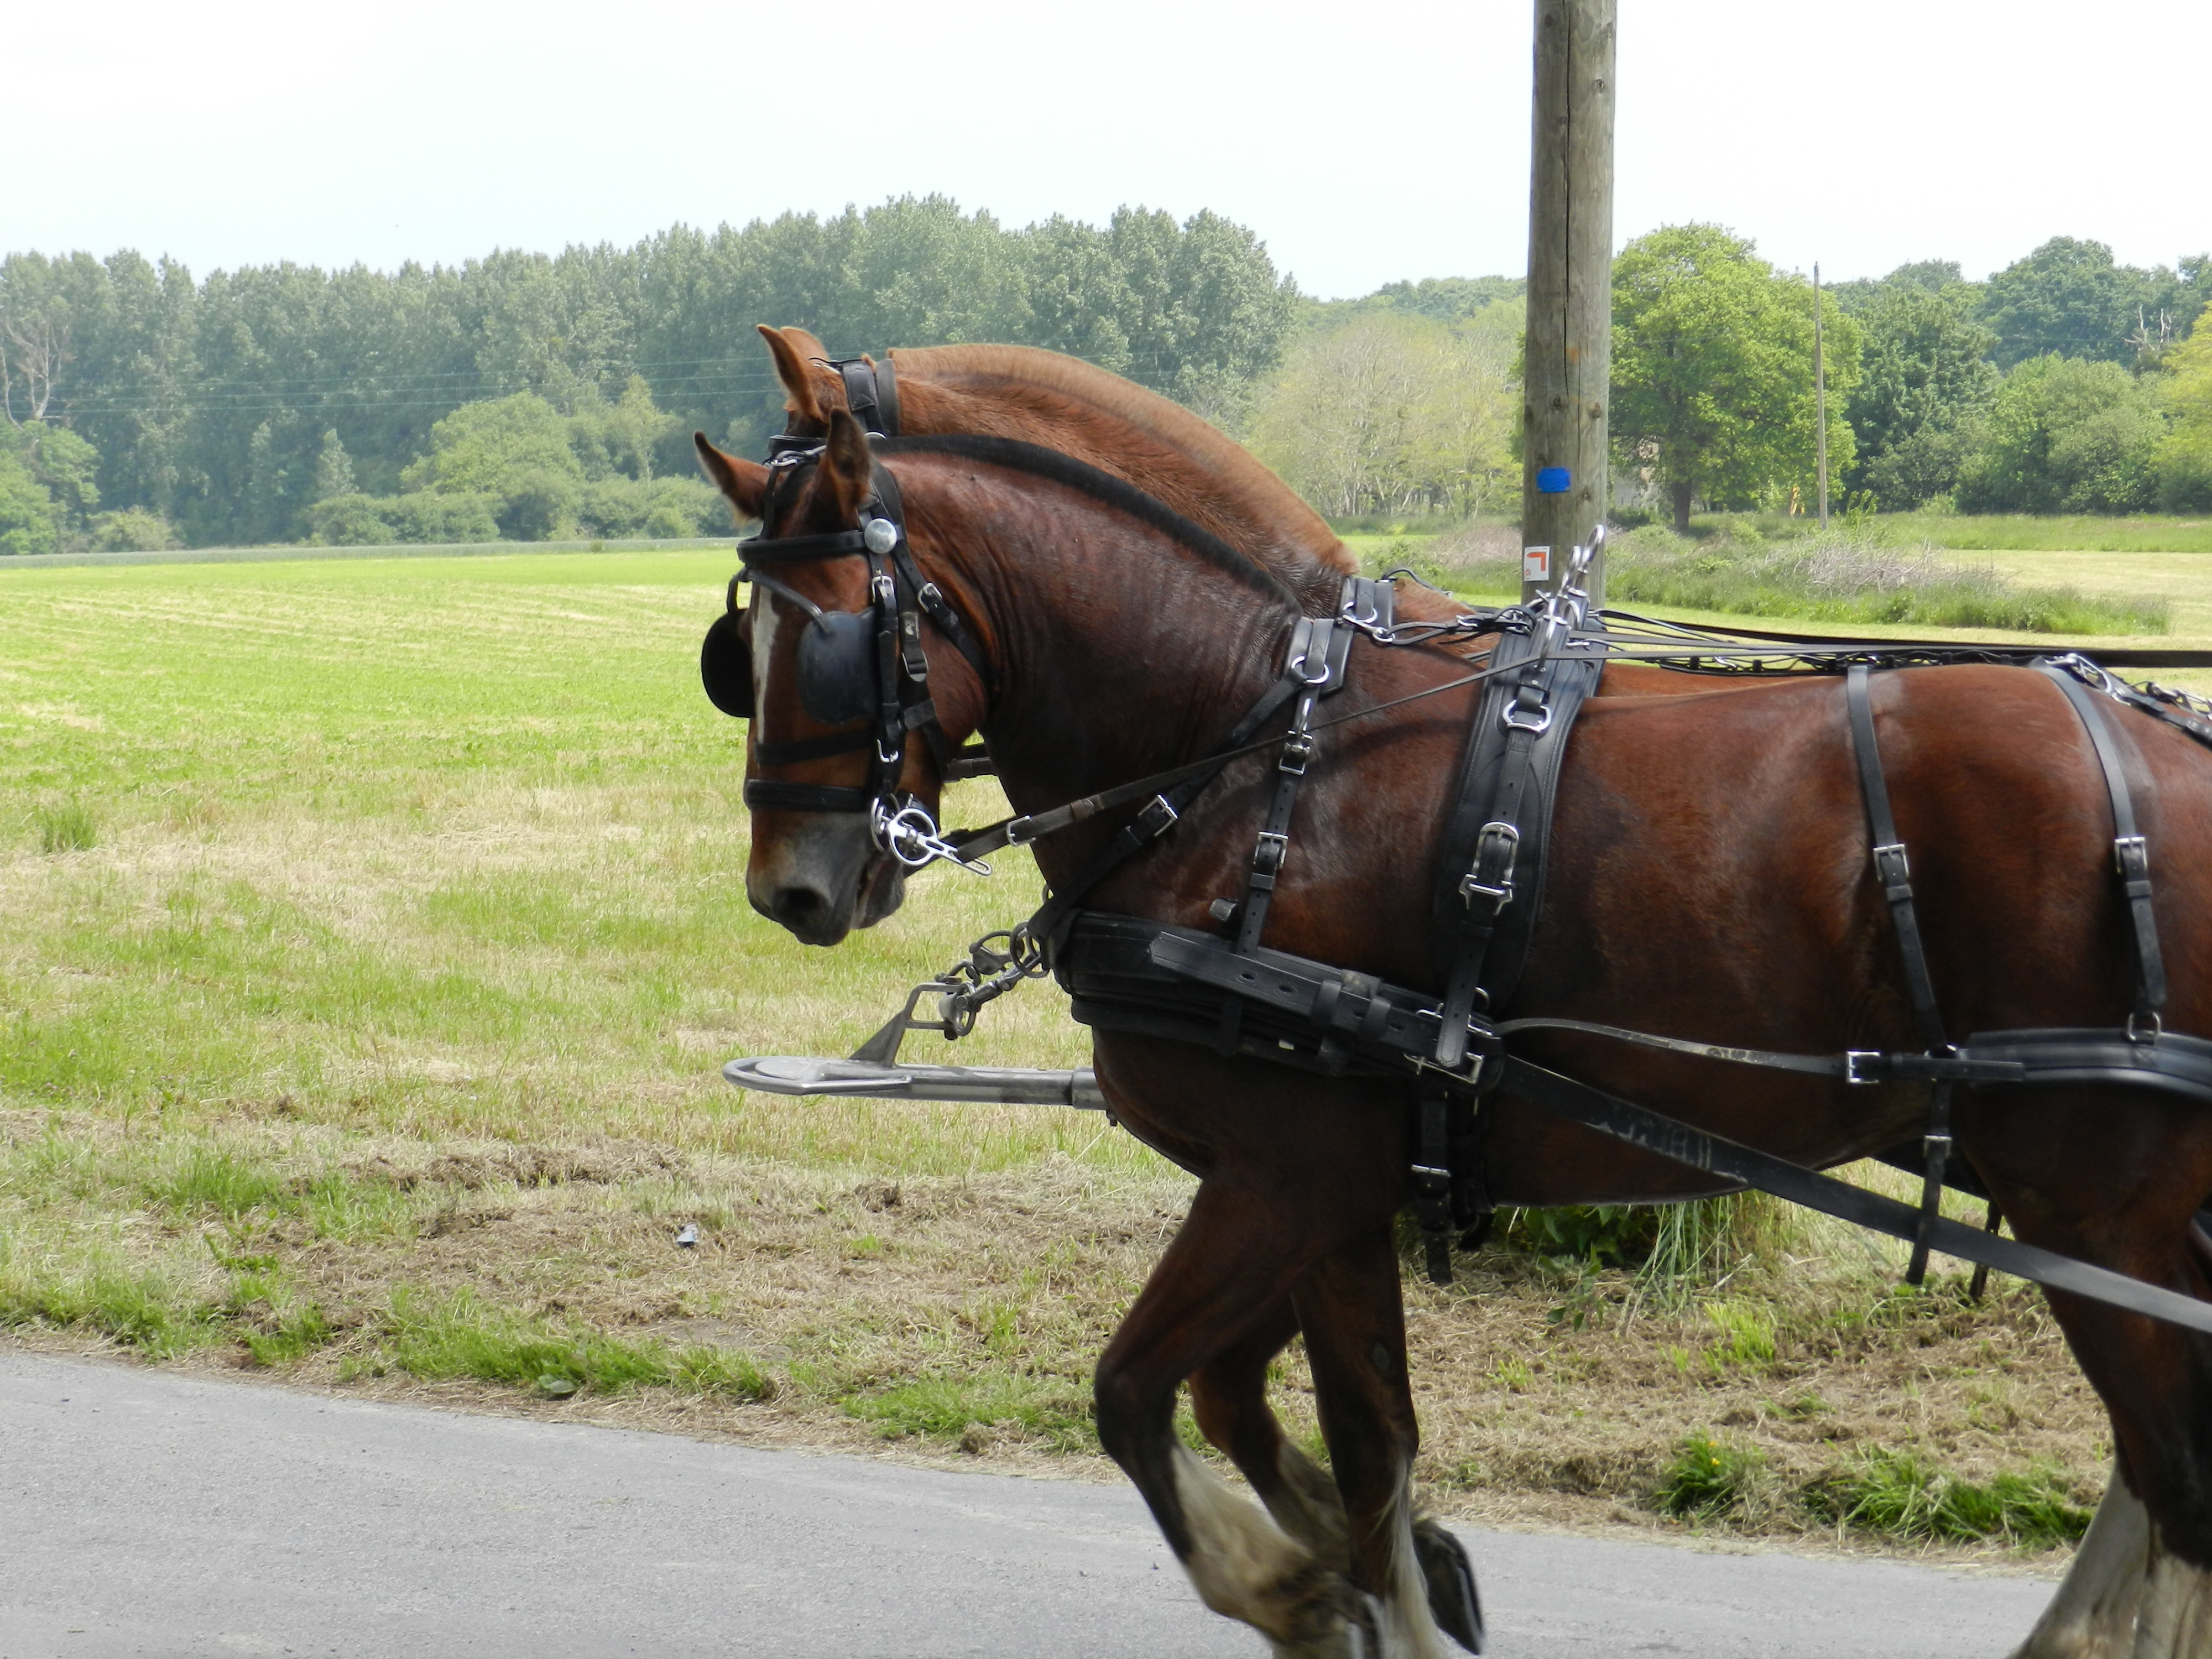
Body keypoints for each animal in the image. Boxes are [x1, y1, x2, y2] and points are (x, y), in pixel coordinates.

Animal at [694, 410, 2212, 1659]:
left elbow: (1167, 1397)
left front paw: (1304, 1590)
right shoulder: (1331, 1184)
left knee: (2172, 1476)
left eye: (827, 634)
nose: (790, 889)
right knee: (2150, 1472)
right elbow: (1294, 1417)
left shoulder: (1290, 1169)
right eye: (736, 651)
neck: (1247, 749)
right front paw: (1390, 1576)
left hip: (2089, 1204)